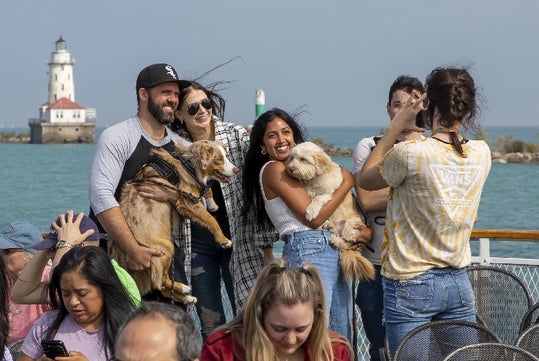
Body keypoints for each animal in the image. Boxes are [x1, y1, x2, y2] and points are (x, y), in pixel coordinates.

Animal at [108, 140, 237, 304]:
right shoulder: (188, 201)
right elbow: (210, 219)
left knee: (162, 288)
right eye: (218, 159)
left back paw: (187, 297)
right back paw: (184, 288)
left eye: (226, 156)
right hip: (165, 249)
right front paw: (224, 240)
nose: (236, 169)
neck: (189, 163)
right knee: (160, 282)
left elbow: (207, 190)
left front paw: (212, 203)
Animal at [286, 141, 376, 282]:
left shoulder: (329, 193)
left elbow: (318, 198)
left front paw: (311, 211)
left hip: (352, 224)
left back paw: (335, 239)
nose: (289, 169)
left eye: (303, 159)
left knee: (347, 241)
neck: (317, 177)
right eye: (292, 158)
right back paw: (329, 226)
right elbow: (309, 191)